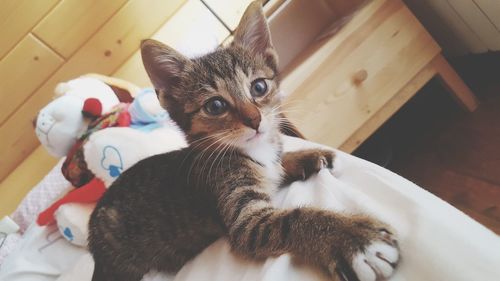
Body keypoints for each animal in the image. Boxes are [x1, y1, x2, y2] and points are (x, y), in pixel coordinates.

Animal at [88, 1, 400, 278]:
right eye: (215, 106)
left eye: (259, 87)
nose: (255, 119)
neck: (255, 150)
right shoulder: (245, 221)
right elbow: (290, 221)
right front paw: (352, 238)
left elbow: (280, 161)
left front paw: (308, 156)